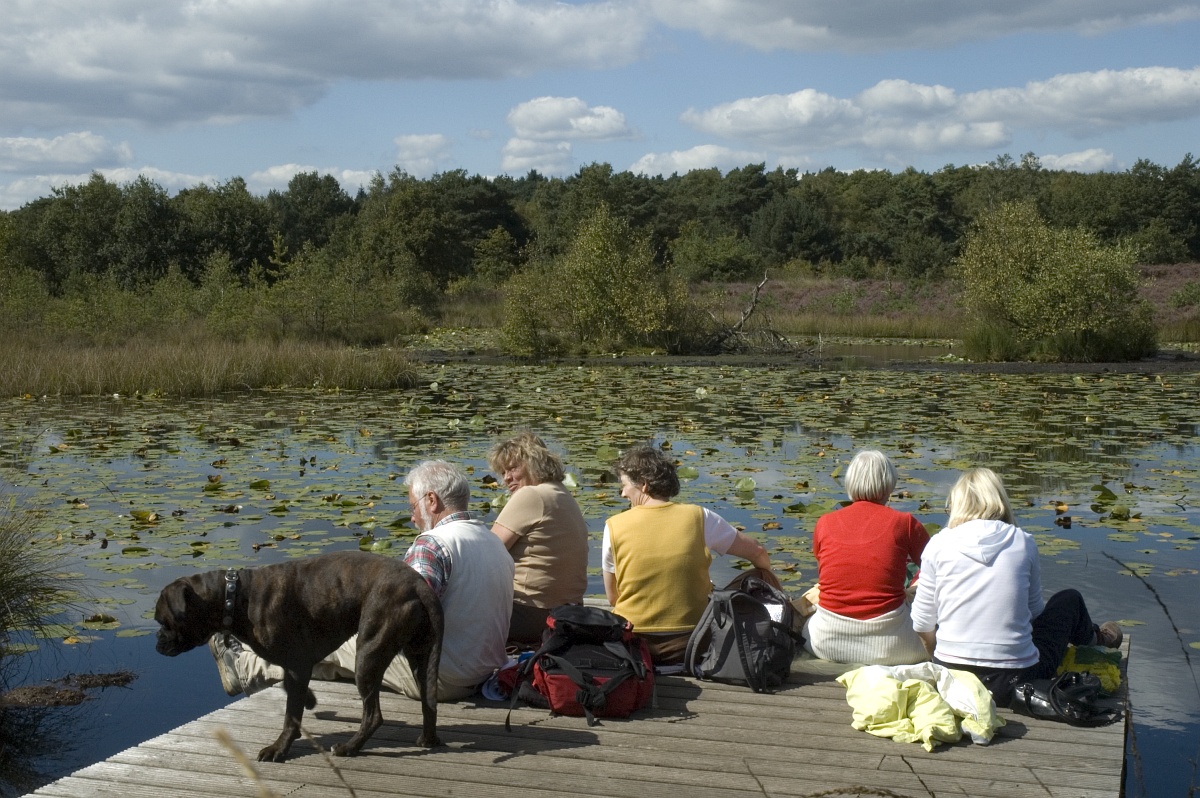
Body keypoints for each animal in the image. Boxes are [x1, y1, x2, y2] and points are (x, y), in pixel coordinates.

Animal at [155, 550, 443, 761]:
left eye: (163, 621)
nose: (157, 642)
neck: (234, 597)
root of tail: (418, 584)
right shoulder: (295, 668)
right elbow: (289, 688)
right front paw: (310, 699)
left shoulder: (297, 665)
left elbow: (291, 715)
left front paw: (279, 749)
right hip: (420, 657)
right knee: (429, 701)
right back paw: (427, 739)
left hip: (368, 654)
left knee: (373, 715)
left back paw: (348, 748)